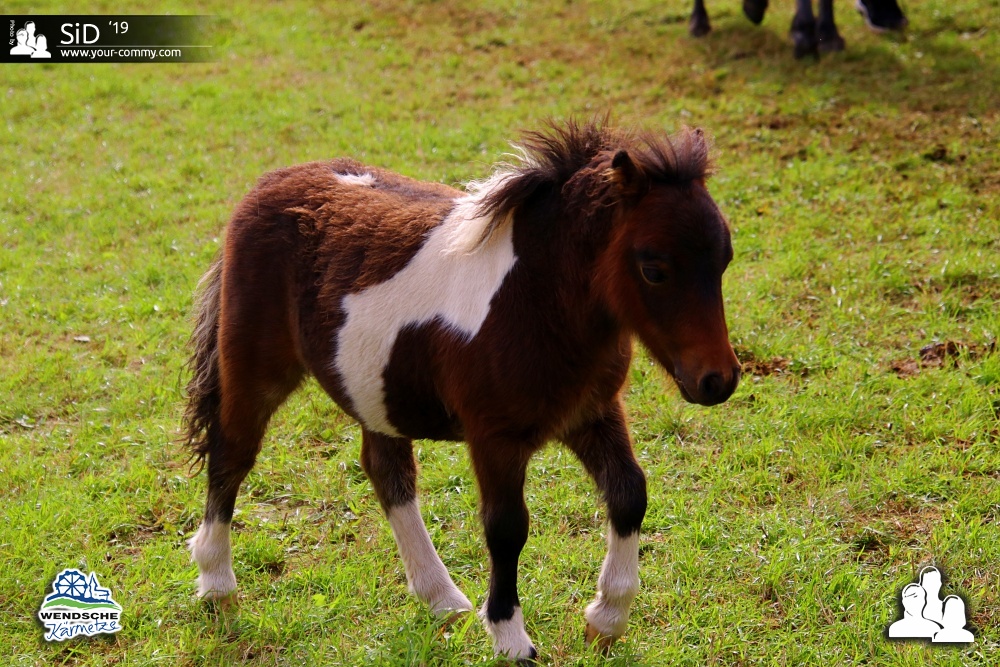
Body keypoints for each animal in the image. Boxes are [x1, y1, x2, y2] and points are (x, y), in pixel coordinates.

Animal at [183, 119, 741, 662]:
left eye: (725, 260)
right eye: (655, 269)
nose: (718, 380)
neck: (535, 300)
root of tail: (268, 184)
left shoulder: (592, 412)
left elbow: (629, 494)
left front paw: (606, 620)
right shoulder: (494, 437)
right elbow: (507, 528)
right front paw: (511, 638)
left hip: (373, 390)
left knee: (386, 471)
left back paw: (442, 600)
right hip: (255, 370)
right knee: (231, 453)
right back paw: (216, 584)